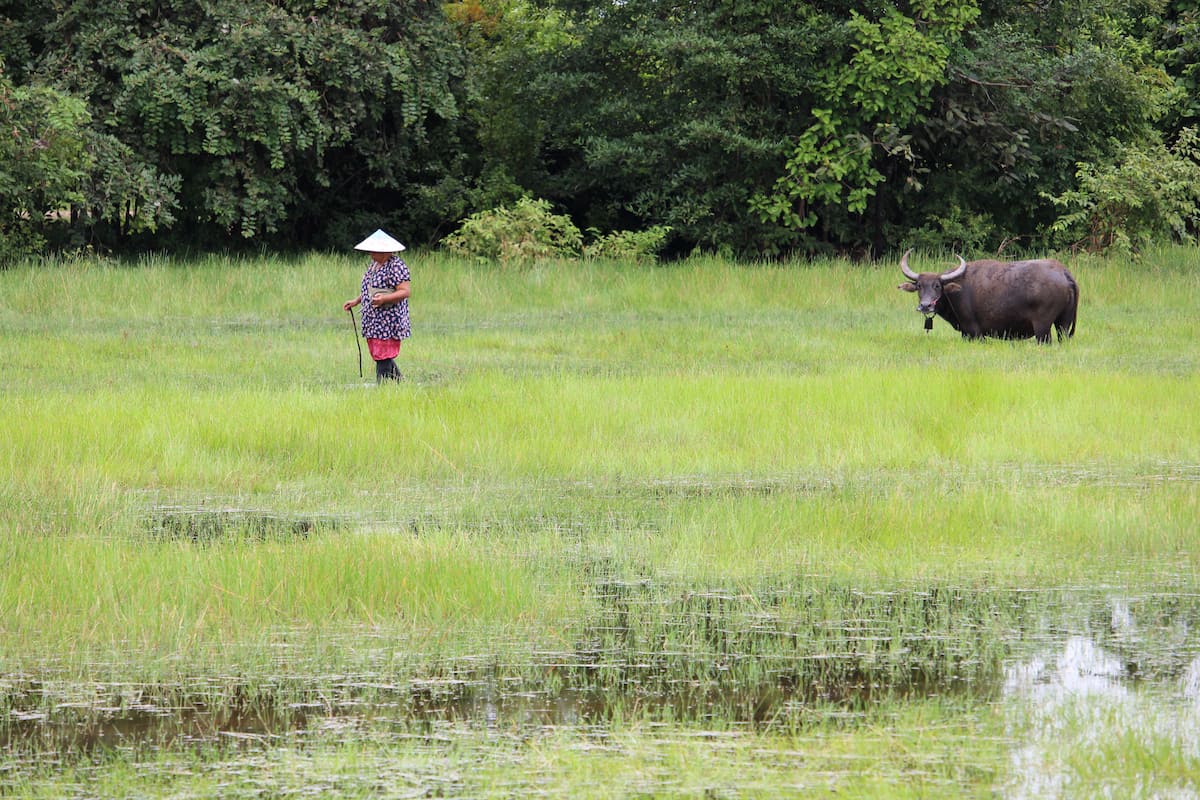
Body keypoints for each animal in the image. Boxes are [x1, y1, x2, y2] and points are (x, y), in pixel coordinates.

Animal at [897, 251, 1084, 343]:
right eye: (919, 286)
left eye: (937, 286)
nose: (925, 305)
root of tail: (1064, 272)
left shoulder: (973, 331)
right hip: (1063, 324)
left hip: (1042, 327)